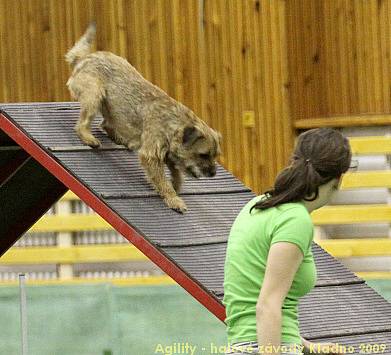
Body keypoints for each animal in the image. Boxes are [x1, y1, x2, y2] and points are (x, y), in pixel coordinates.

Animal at [66, 23, 222, 213]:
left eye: (215, 155)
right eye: (203, 155)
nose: (213, 173)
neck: (173, 123)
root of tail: (84, 58)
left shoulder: (169, 157)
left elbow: (177, 174)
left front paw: (176, 188)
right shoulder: (151, 156)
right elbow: (163, 181)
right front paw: (173, 199)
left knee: (106, 124)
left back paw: (120, 138)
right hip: (94, 95)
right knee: (82, 124)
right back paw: (89, 138)